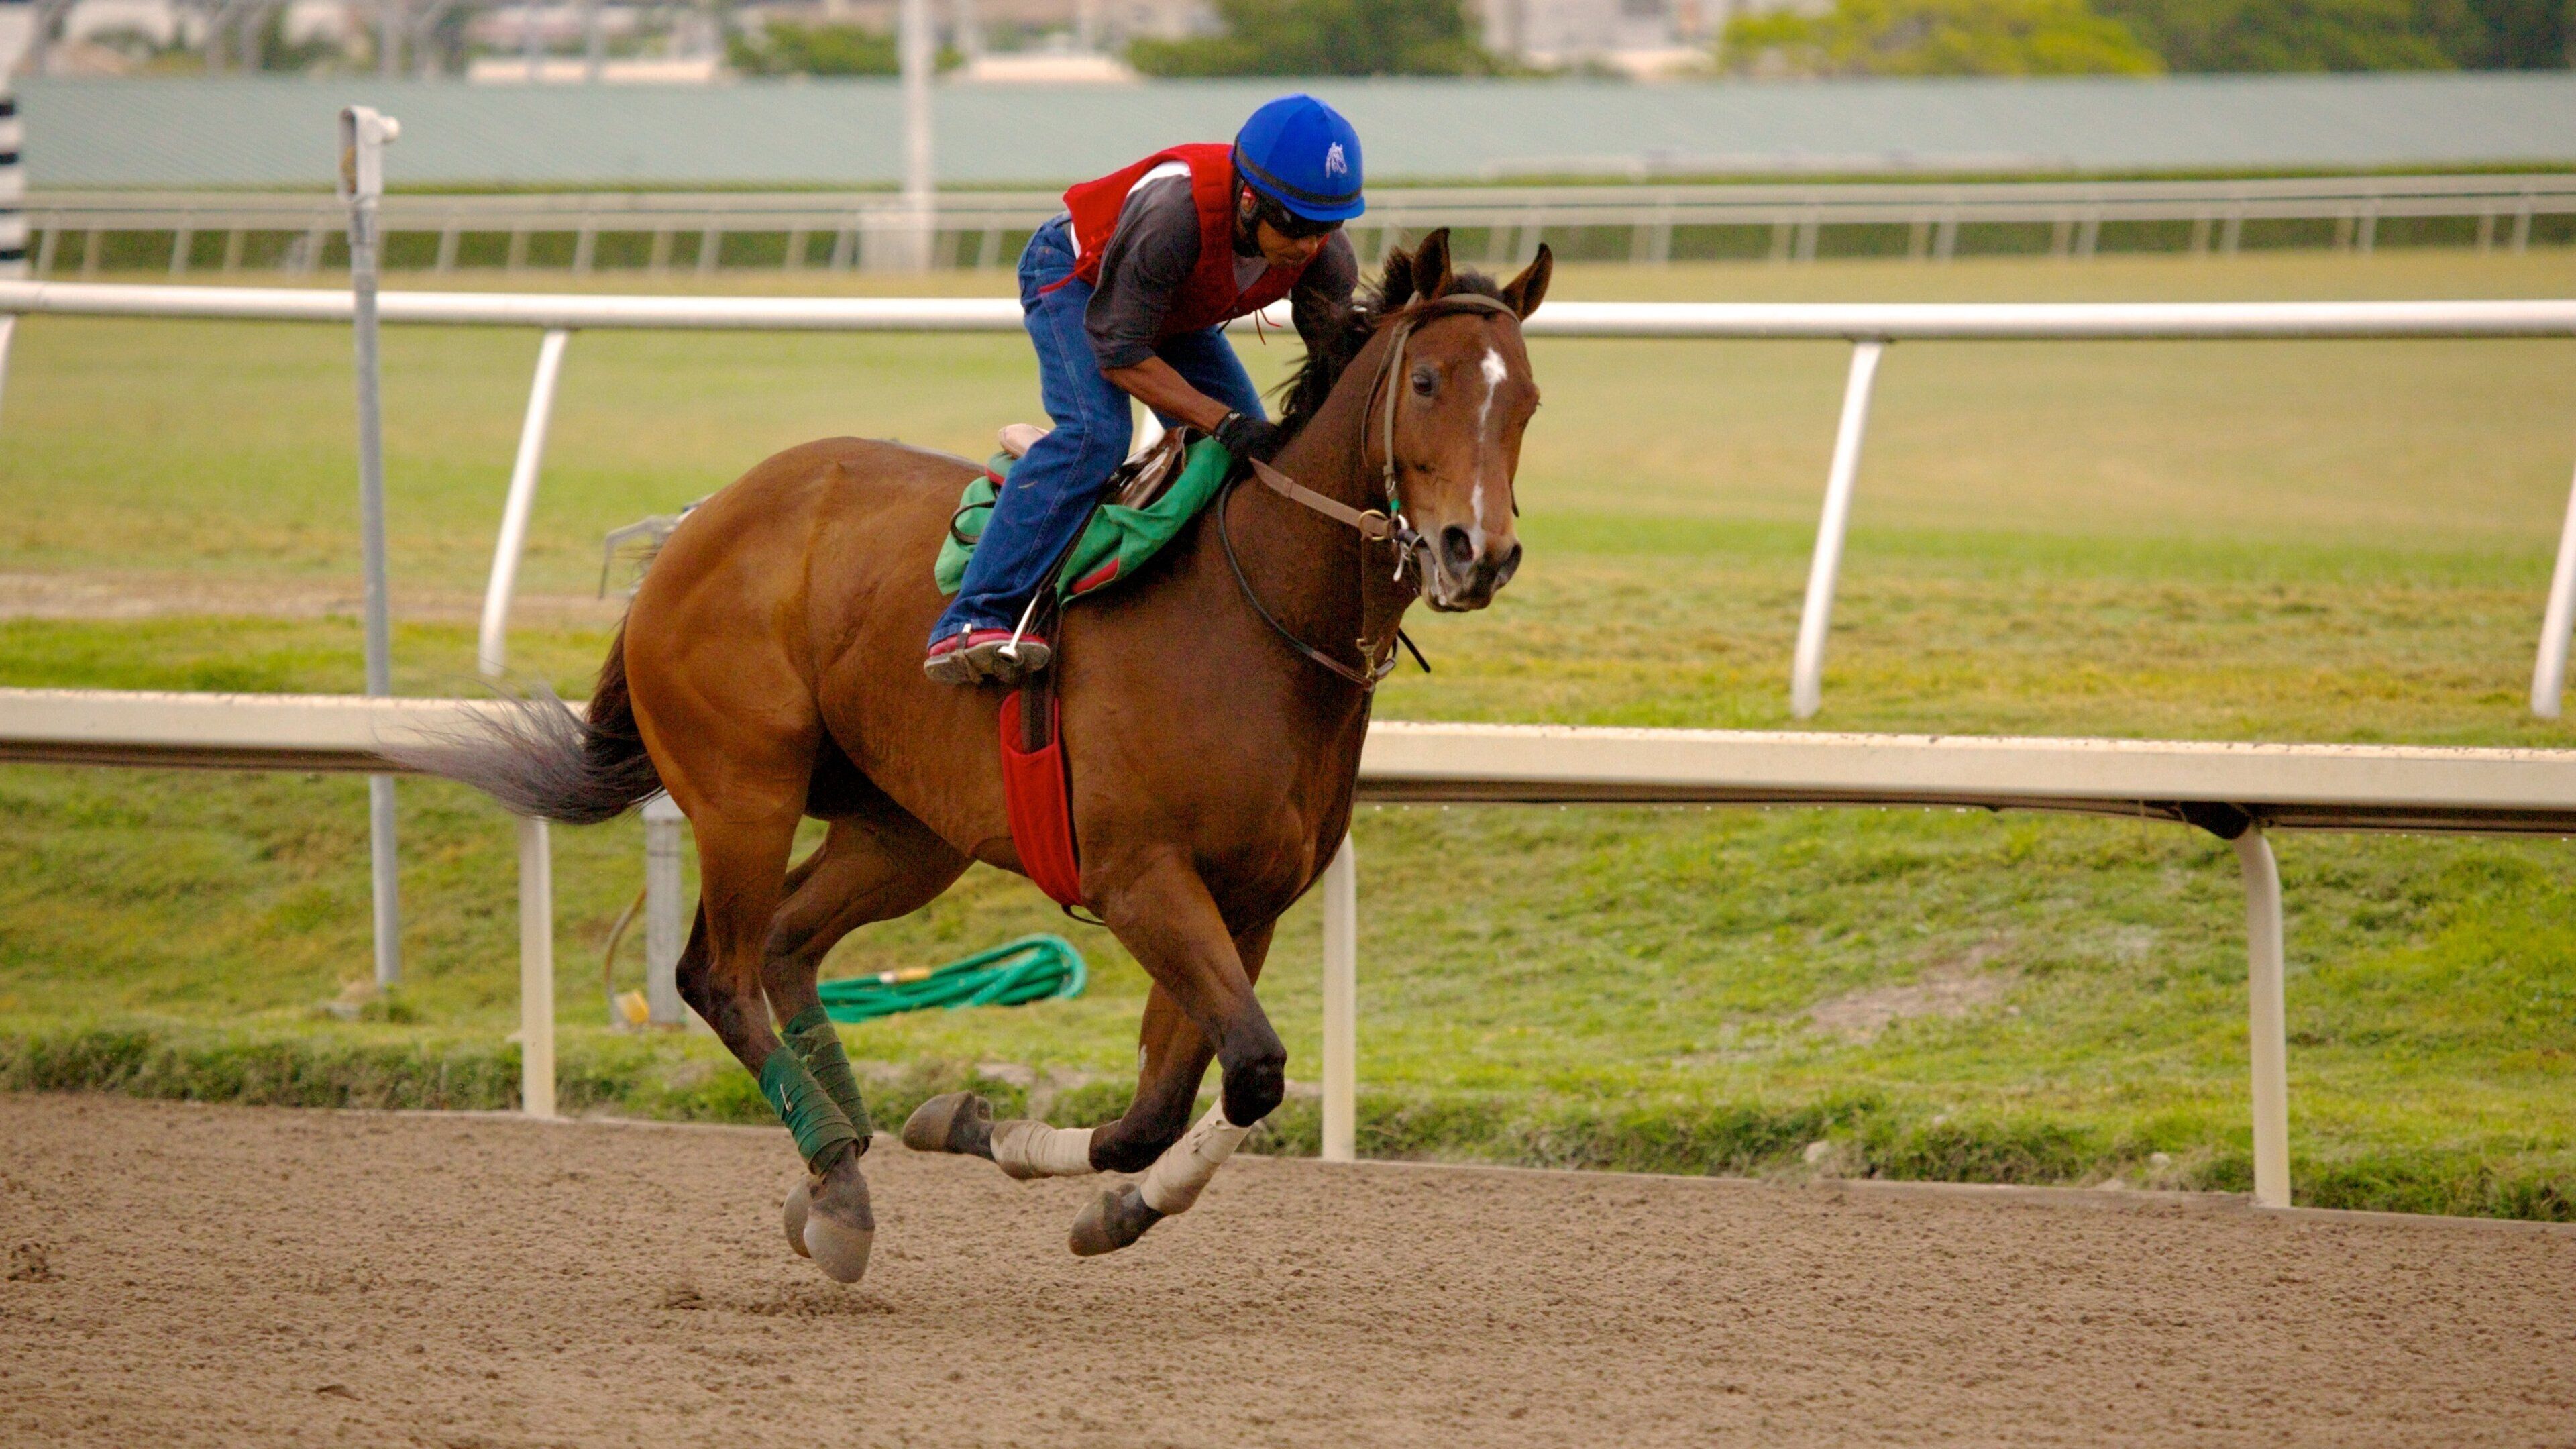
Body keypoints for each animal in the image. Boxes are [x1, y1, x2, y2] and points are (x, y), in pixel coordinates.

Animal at [410, 229, 1550, 1284]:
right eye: (1428, 382)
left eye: (1529, 401)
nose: (1477, 554)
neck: (1253, 615)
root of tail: (702, 522)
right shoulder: (1141, 878)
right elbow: (1246, 1070)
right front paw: (995, 1139)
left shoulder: (1250, 904)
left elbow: (1184, 1096)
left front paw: (1061, 1176)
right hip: (746, 788)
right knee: (717, 972)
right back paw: (840, 1183)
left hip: (906, 833)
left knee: (783, 942)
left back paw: (834, 1157)